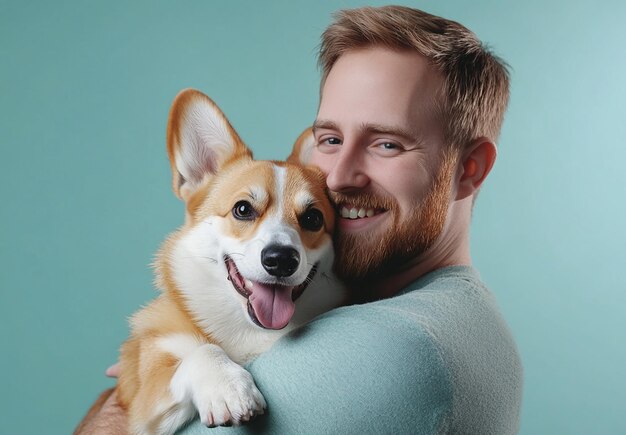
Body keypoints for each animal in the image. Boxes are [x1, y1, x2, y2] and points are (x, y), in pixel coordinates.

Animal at [114, 89, 344, 435]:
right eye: (243, 209)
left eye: (313, 218)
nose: (281, 260)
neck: (248, 331)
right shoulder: (146, 402)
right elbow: (202, 350)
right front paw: (228, 388)